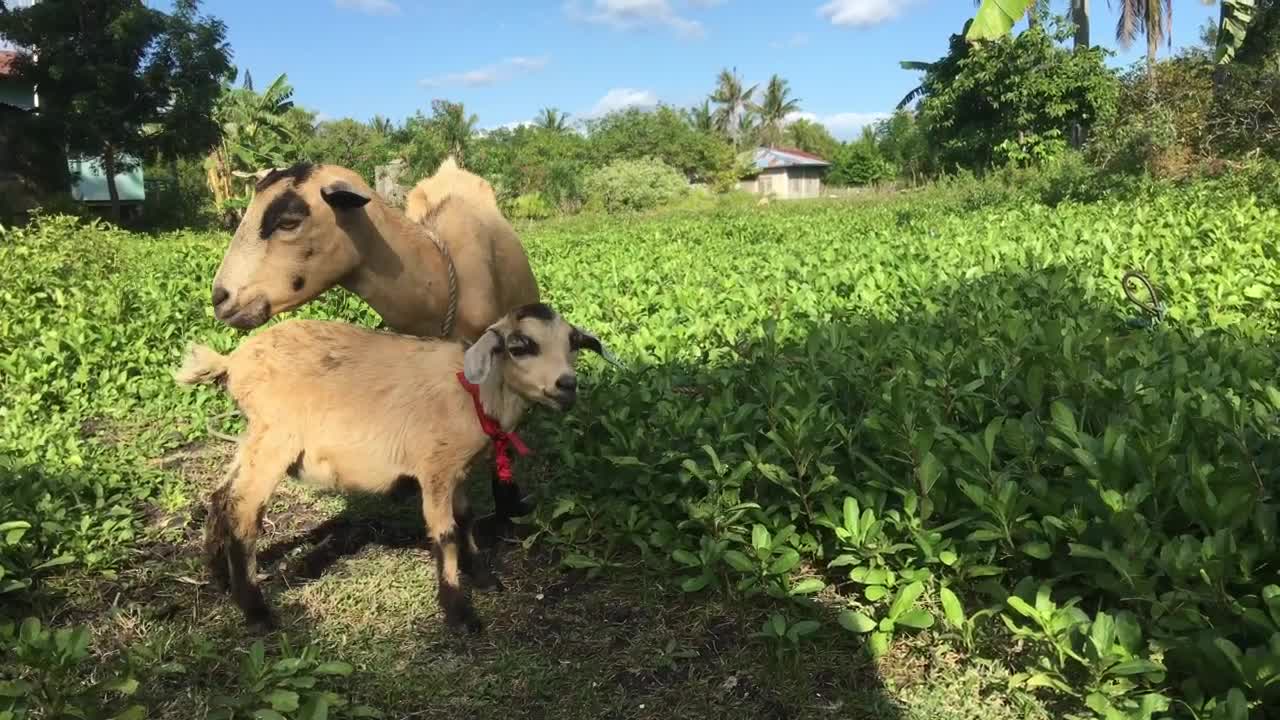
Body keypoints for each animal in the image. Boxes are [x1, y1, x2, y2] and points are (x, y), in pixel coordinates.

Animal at [174, 302, 615, 633]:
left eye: (573, 343)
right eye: (520, 346)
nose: (567, 385)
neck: (476, 393)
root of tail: (232, 362)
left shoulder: (457, 470)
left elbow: (466, 519)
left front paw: (484, 578)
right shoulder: (434, 468)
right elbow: (445, 533)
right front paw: (459, 612)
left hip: (256, 436)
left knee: (220, 496)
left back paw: (219, 576)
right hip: (276, 438)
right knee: (243, 512)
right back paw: (256, 611)